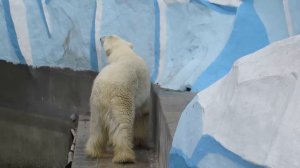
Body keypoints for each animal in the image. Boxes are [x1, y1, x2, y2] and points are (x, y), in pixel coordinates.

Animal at [85, 35, 151, 163]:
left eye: (107, 37)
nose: (100, 38)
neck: (124, 53)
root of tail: (103, 87)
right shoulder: (143, 93)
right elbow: (143, 114)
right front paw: (140, 140)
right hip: (120, 99)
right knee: (122, 125)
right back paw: (125, 156)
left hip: (95, 104)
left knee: (96, 127)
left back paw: (95, 151)